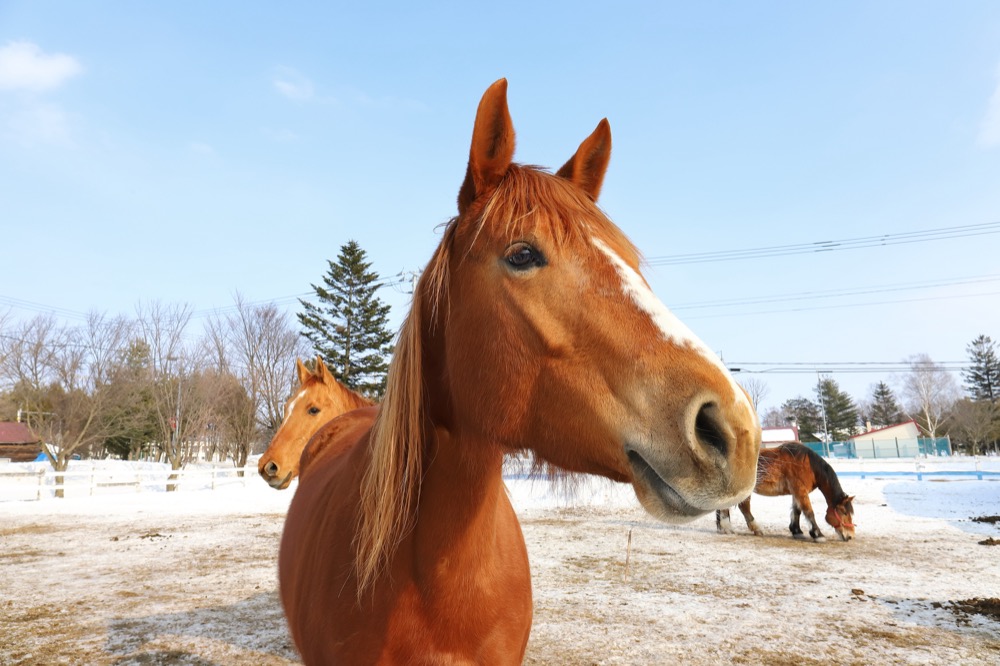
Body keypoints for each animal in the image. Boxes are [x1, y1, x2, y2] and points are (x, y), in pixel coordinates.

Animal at [715, 442, 855, 542]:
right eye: (844, 512)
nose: (850, 536)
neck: (808, 465)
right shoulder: (800, 490)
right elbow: (809, 512)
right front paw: (818, 534)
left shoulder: (796, 492)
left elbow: (797, 511)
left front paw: (797, 531)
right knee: (742, 507)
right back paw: (738, 529)